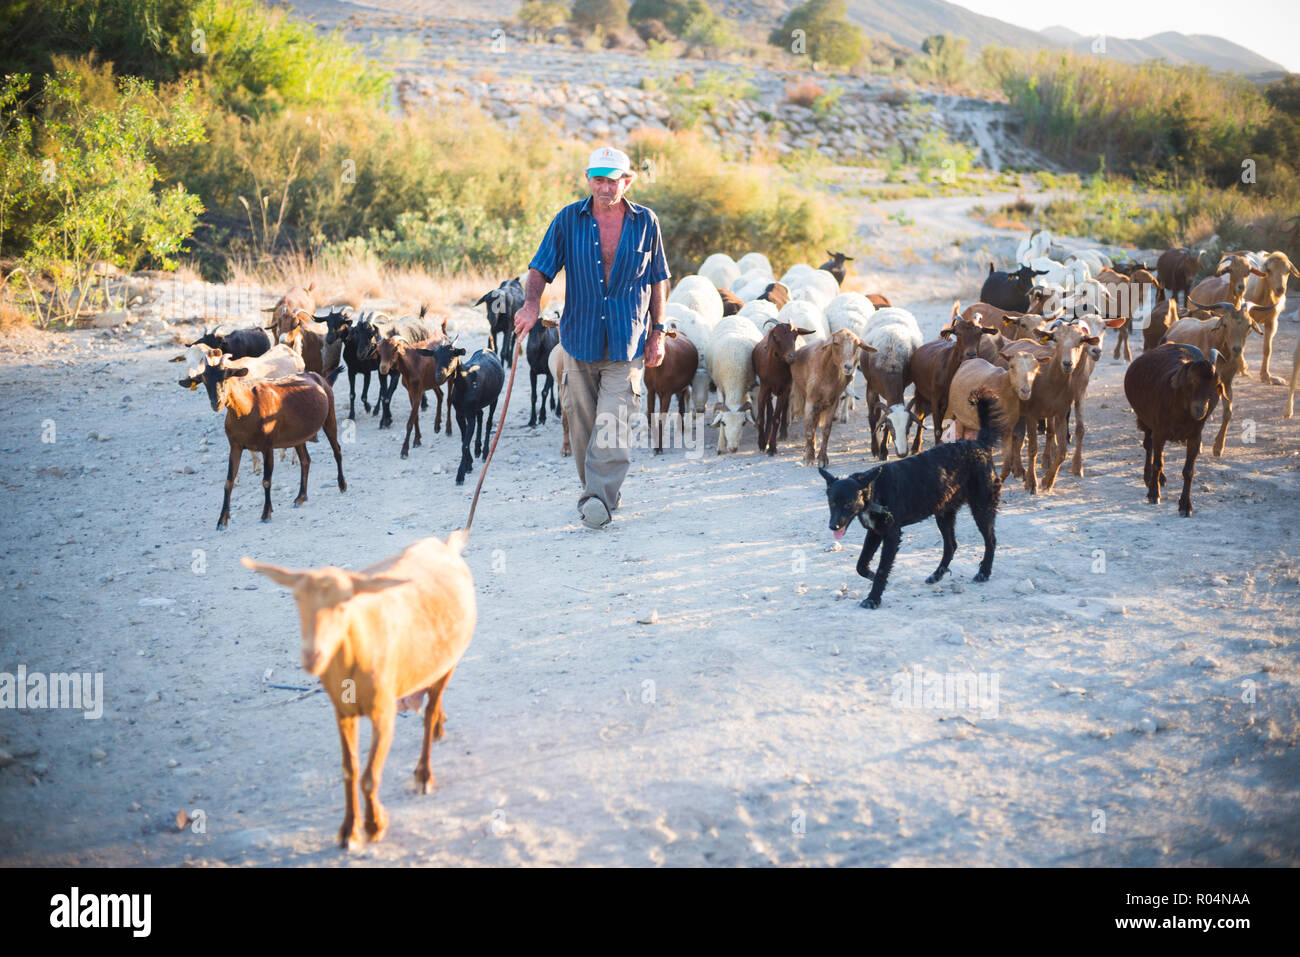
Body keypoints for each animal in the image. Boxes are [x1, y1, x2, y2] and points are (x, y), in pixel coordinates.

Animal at [206, 369, 343, 530]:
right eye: (205, 379)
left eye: (226, 377)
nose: (216, 402)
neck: (247, 408)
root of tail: (322, 379)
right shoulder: (235, 446)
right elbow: (228, 482)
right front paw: (222, 521)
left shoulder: (267, 446)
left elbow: (266, 481)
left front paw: (266, 514)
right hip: (297, 436)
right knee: (305, 460)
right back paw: (301, 497)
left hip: (329, 416)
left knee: (336, 450)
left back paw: (342, 485)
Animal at [241, 530, 475, 852]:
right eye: (297, 600)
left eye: (343, 604)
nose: (312, 656)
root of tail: (444, 546)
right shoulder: (342, 712)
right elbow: (349, 770)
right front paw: (348, 830)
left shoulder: (384, 712)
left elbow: (369, 776)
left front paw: (374, 825)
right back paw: (440, 723)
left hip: (450, 660)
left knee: (428, 711)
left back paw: (424, 772)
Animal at [821, 392, 1003, 608]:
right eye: (832, 503)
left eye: (848, 504)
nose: (833, 526)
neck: (874, 489)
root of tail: (979, 445)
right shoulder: (875, 532)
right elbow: (861, 564)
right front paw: (871, 576)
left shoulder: (891, 534)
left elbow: (882, 569)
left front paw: (873, 598)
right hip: (944, 513)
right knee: (951, 545)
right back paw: (937, 574)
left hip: (981, 507)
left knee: (990, 540)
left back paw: (984, 572)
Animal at [1123, 343, 1222, 514]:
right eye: (1192, 380)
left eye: (1215, 384)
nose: (1200, 409)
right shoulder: (1159, 432)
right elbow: (1157, 463)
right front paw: (1153, 494)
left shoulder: (1195, 436)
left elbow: (1188, 471)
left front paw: (1185, 505)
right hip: (1145, 420)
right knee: (1149, 446)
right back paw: (1149, 477)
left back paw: (1160, 478)